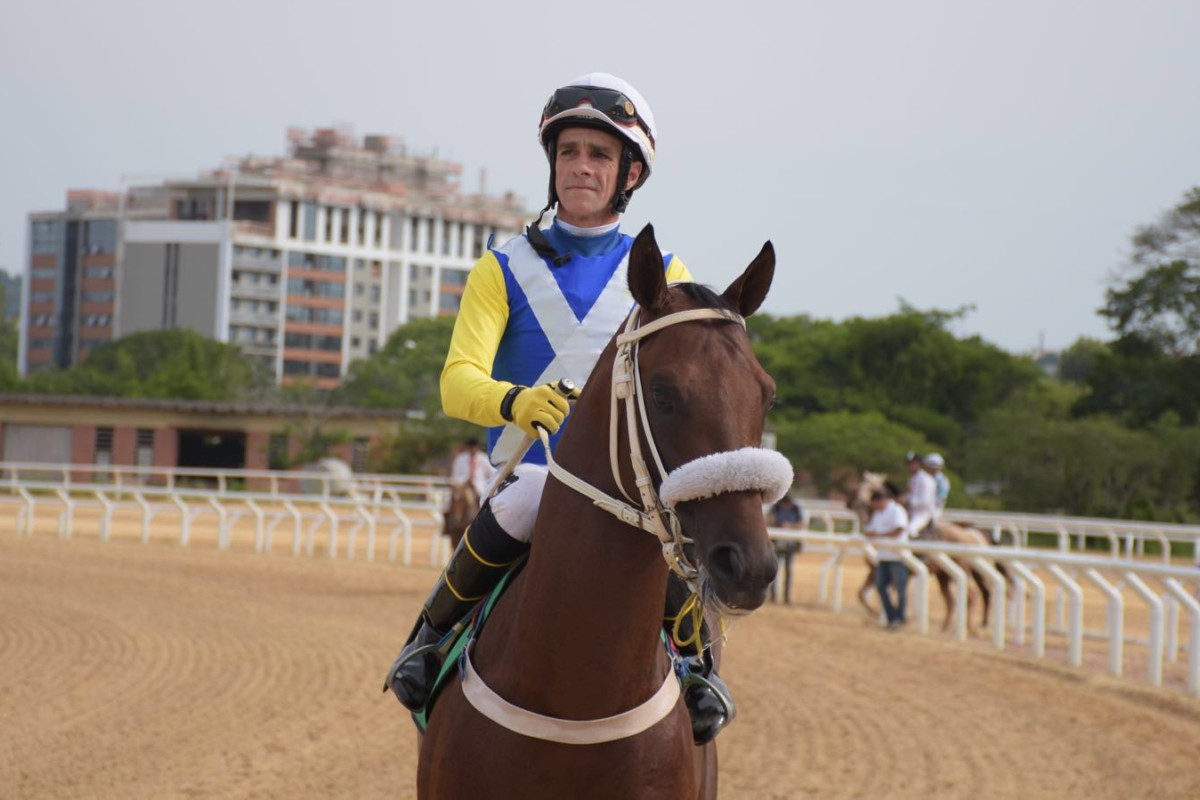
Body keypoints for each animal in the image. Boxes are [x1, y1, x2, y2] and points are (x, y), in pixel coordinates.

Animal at [849, 472, 998, 633]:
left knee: (972, 595)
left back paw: (971, 629)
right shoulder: (875, 570)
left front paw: (884, 616)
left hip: (961, 571)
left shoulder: (891, 570)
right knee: (951, 600)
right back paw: (945, 628)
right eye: (859, 485)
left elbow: (885, 593)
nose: (855, 503)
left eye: (871, 487)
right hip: (943, 576)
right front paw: (878, 615)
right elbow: (862, 594)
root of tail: (970, 534)